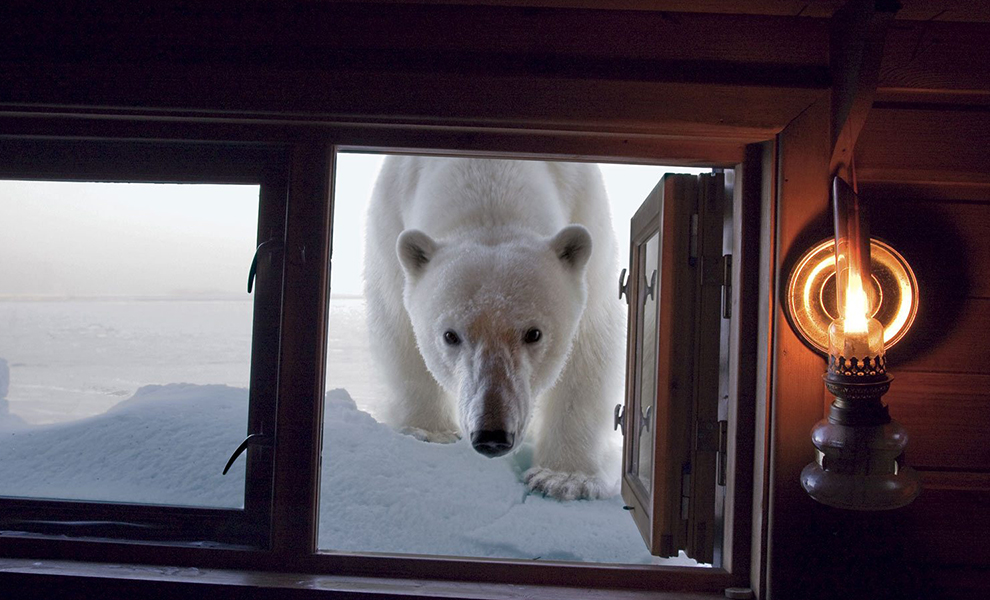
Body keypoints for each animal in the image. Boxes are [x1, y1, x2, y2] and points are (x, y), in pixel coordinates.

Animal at [364, 157, 628, 500]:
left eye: (534, 333)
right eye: (450, 335)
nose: (492, 435)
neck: (488, 172)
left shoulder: (587, 214)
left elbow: (589, 345)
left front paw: (563, 478)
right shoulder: (390, 219)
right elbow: (398, 328)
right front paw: (429, 432)